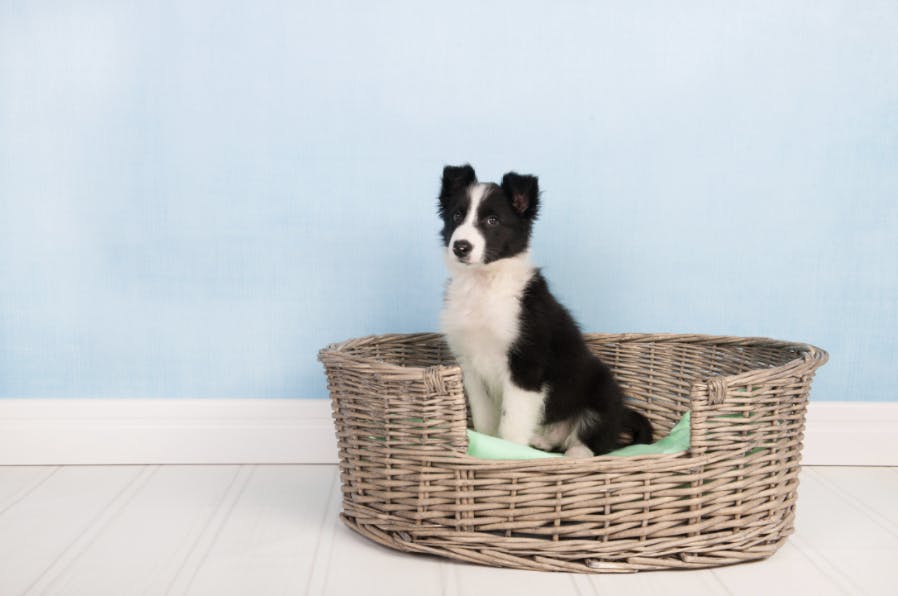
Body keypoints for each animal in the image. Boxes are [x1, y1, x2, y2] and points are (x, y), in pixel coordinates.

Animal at [436, 165, 652, 458]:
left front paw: (508, 454)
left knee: (598, 440)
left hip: (604, 389)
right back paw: (544, 441)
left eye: (492, 220)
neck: (484, 285)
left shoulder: (526, 367)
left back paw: (577, 453)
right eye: (457, 216)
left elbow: (511, 425)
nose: (460, 247)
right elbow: (484, 421)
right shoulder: (471, 369)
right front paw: (487, 448)